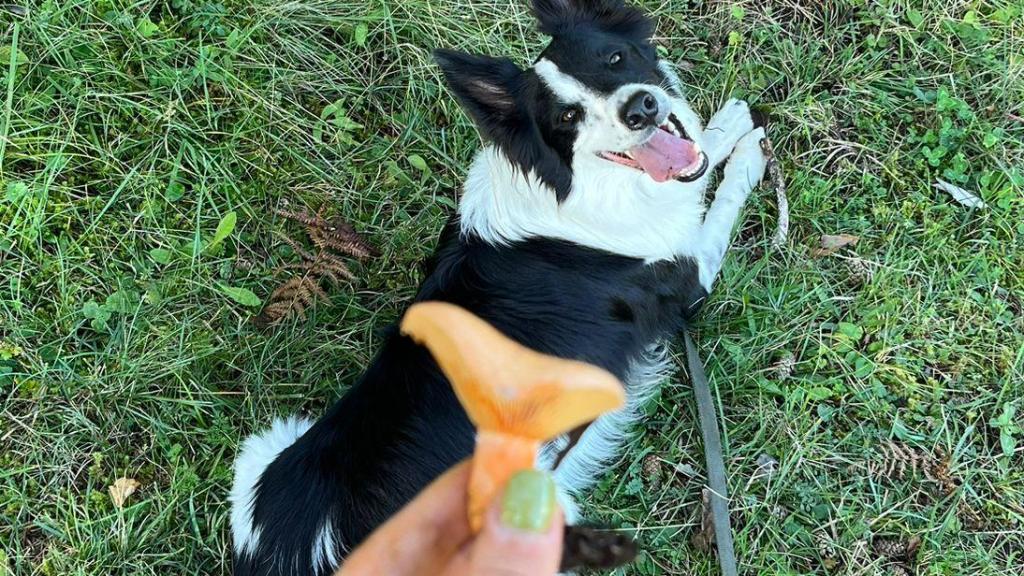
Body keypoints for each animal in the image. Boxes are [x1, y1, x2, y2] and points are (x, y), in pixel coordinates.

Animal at [228, 2, 765, 569]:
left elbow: (700, 154)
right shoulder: (685, 278)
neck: (574, 188)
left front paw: (725, 125)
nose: (642, 107)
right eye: (567, 118)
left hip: (265, 450)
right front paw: (748, 154)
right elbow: (720, 200)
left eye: (615, 58)